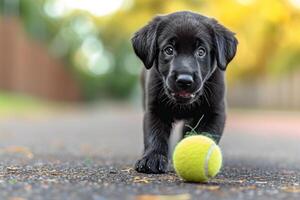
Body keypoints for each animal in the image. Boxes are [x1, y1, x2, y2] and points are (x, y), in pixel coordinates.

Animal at [132, 10, 238, 173]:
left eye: (201, 52)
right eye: (169, 50)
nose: (184, 80)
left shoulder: (214, 111)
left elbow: (207, 133)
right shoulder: (154, 109)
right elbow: (154, 134)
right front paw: (153, 158)